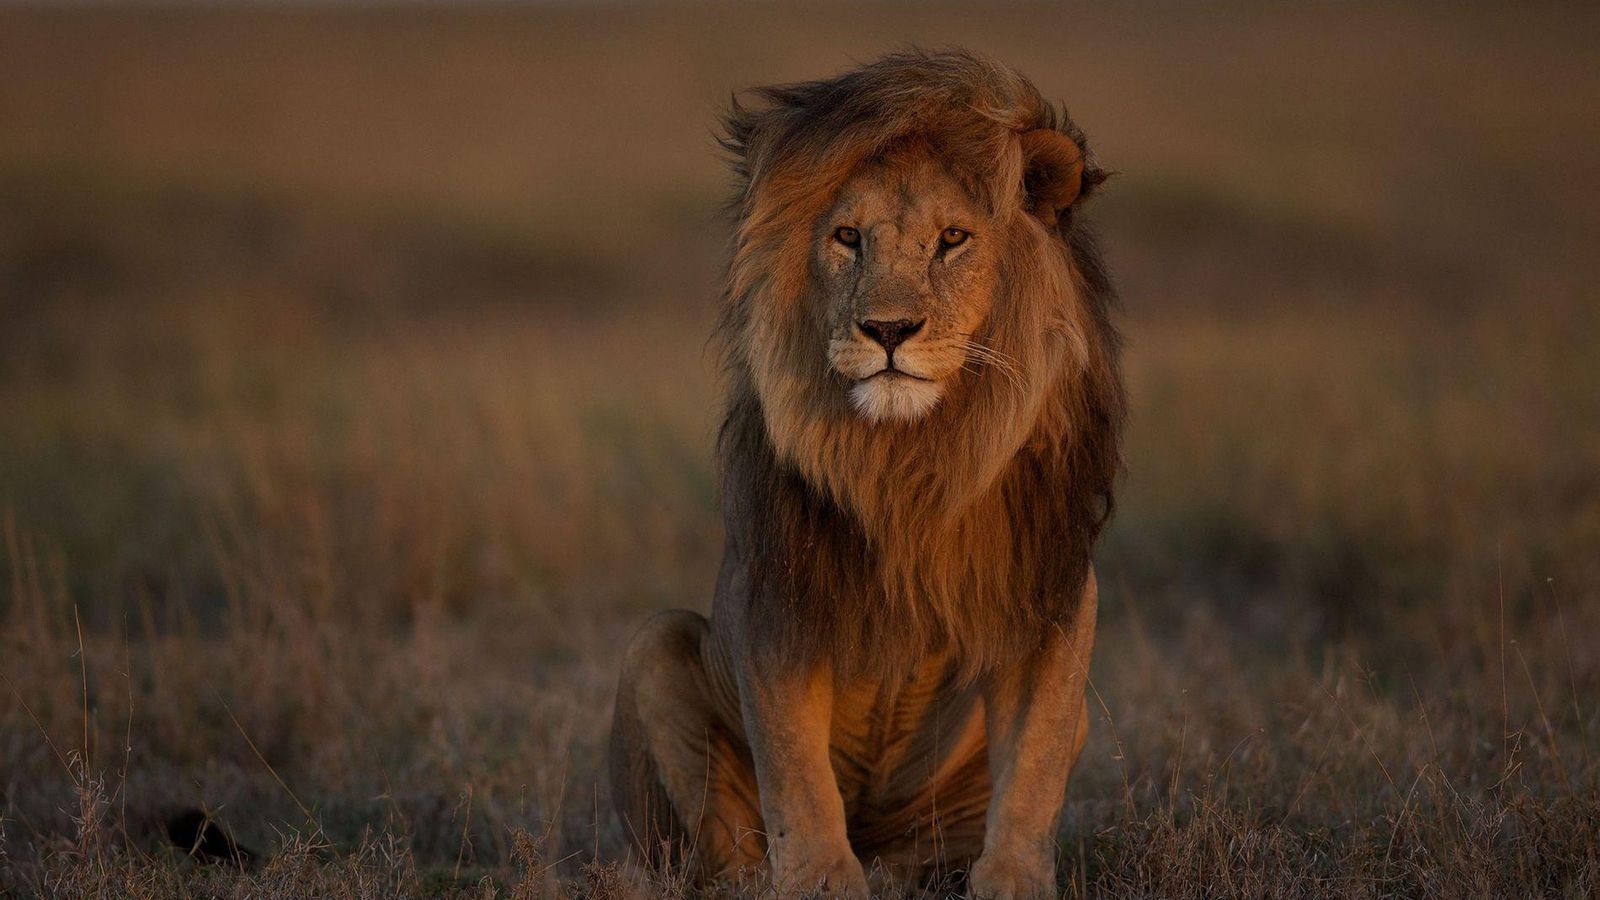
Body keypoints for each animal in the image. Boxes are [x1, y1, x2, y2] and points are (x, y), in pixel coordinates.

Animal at [609, 50, 1124, 899]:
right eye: (847, 237)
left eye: (953, 239)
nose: (887, 329)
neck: (907, 459)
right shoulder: (776, 593)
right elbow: (795, 769)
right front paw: (820, 877)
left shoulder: (1048, 591)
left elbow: (1037, 758)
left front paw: (1013, 879)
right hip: (657, 649)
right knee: (721, 846)